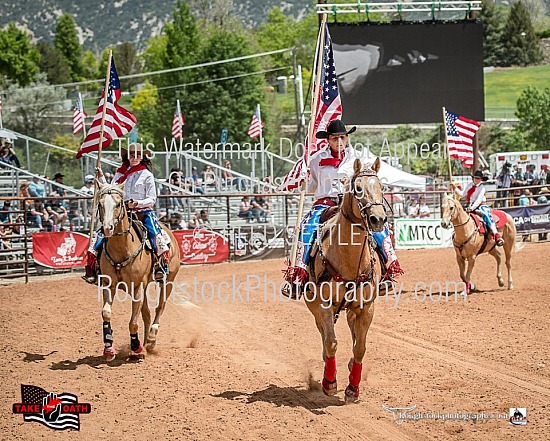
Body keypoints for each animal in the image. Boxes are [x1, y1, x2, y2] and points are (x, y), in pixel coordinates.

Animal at [95, 180, 181, 360]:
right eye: (100, 204)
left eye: (118, 203)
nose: (107, 228)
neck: (123, 248)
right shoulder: (109, 285)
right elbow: (106, 313)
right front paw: (108, 348)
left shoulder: (136, 287)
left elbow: (133, 322)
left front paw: (135, 347)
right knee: (146, 312)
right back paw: (147, 342)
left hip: (167, 281)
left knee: (160, 307)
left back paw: (152, 339)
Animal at [306, 158, 388, 402]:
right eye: (358, 188)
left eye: (382, 187)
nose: (378, 219)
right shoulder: (325, 304)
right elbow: (331, 342)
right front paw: (329, 383)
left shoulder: (366, 307)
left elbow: (360, 347)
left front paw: (353, 388)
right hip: (313, 305)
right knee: (323, 333)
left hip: (353, 308)